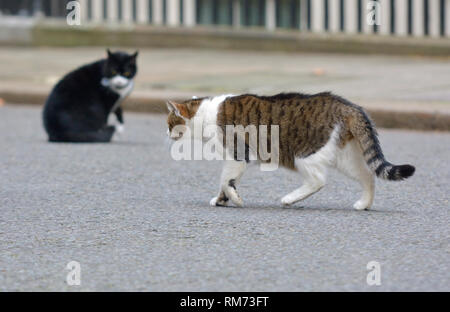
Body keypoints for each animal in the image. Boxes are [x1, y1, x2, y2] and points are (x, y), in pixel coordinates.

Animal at [165, 92, 414, 210]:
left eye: (169, 123)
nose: (167, 134)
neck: (205, 113)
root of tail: (349, 106)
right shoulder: (232, 159)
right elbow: (225, 181)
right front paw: (221, 200)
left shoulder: (238, 154)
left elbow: (226, 181)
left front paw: (234, 199)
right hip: (344, 158)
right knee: (368, 176)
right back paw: (364, 204)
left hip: (305, 154)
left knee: (318, 180)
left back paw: (289, 199)